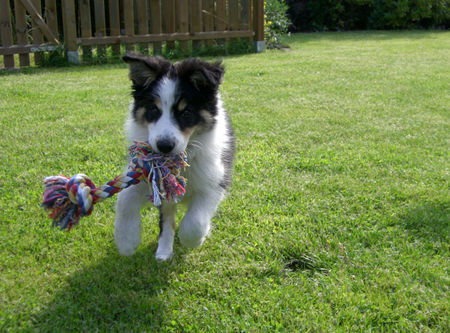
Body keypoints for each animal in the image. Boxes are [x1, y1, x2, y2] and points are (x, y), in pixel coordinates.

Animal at [113, 53, 236, 260]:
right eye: (153, 110)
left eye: (186, 112)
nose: (164, 146)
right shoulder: (147, 176)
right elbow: (124, 199)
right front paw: (126, 242)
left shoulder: (214, 181)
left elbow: (195, 221)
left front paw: (192, 240)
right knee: (167, 217)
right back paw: (163, 251)